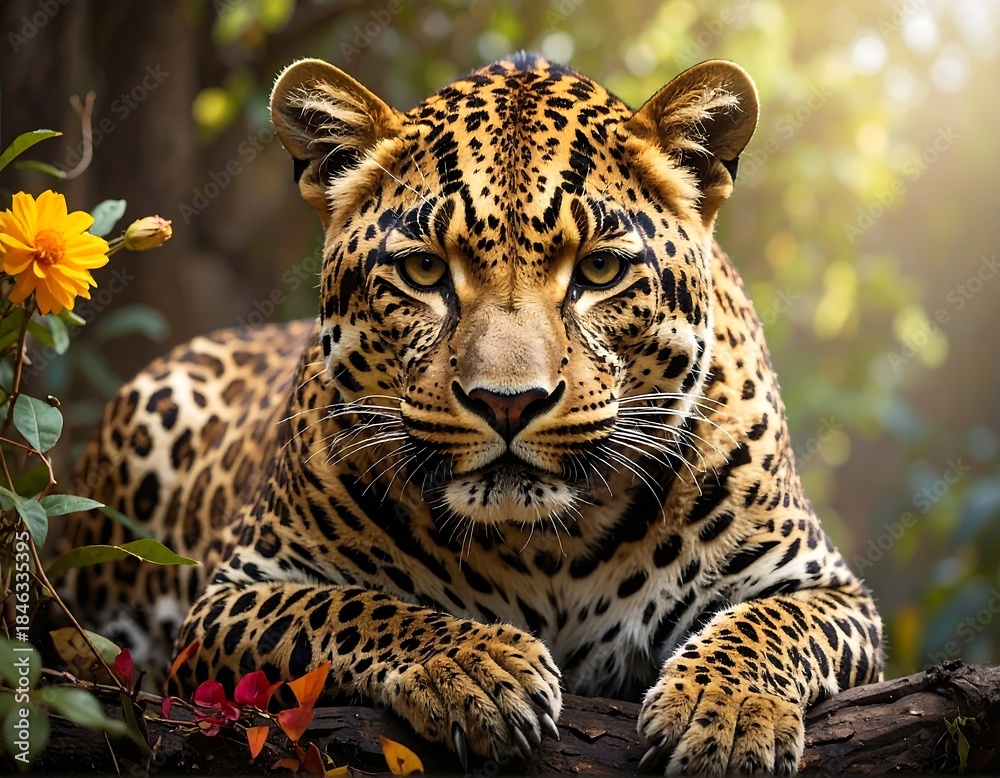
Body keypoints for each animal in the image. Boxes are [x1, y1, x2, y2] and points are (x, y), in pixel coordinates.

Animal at [59, 53, 884, 775]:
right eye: (425, 270)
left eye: (600, 269)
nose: (506, 402)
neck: (551, 546)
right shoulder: (235, 595)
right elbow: (349, 607)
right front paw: (476, 664)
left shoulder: (826, 586)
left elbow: (765, 626)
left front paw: (728, 711)